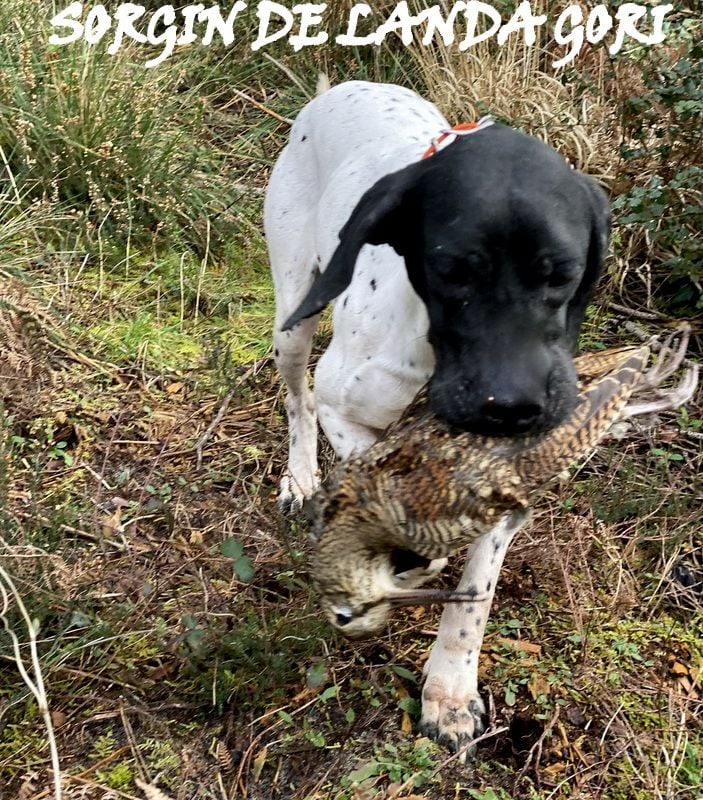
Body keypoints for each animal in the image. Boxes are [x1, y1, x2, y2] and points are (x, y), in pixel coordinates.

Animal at [266, 81, 612, 752]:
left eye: (563, 275)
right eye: (452, 271)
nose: (513, 407)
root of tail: (336, 90)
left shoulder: (509, 486)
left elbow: (471, 596)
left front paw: (448, 692)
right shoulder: (345, 411)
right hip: (293, 317)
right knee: (297, 400)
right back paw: (300, 478)